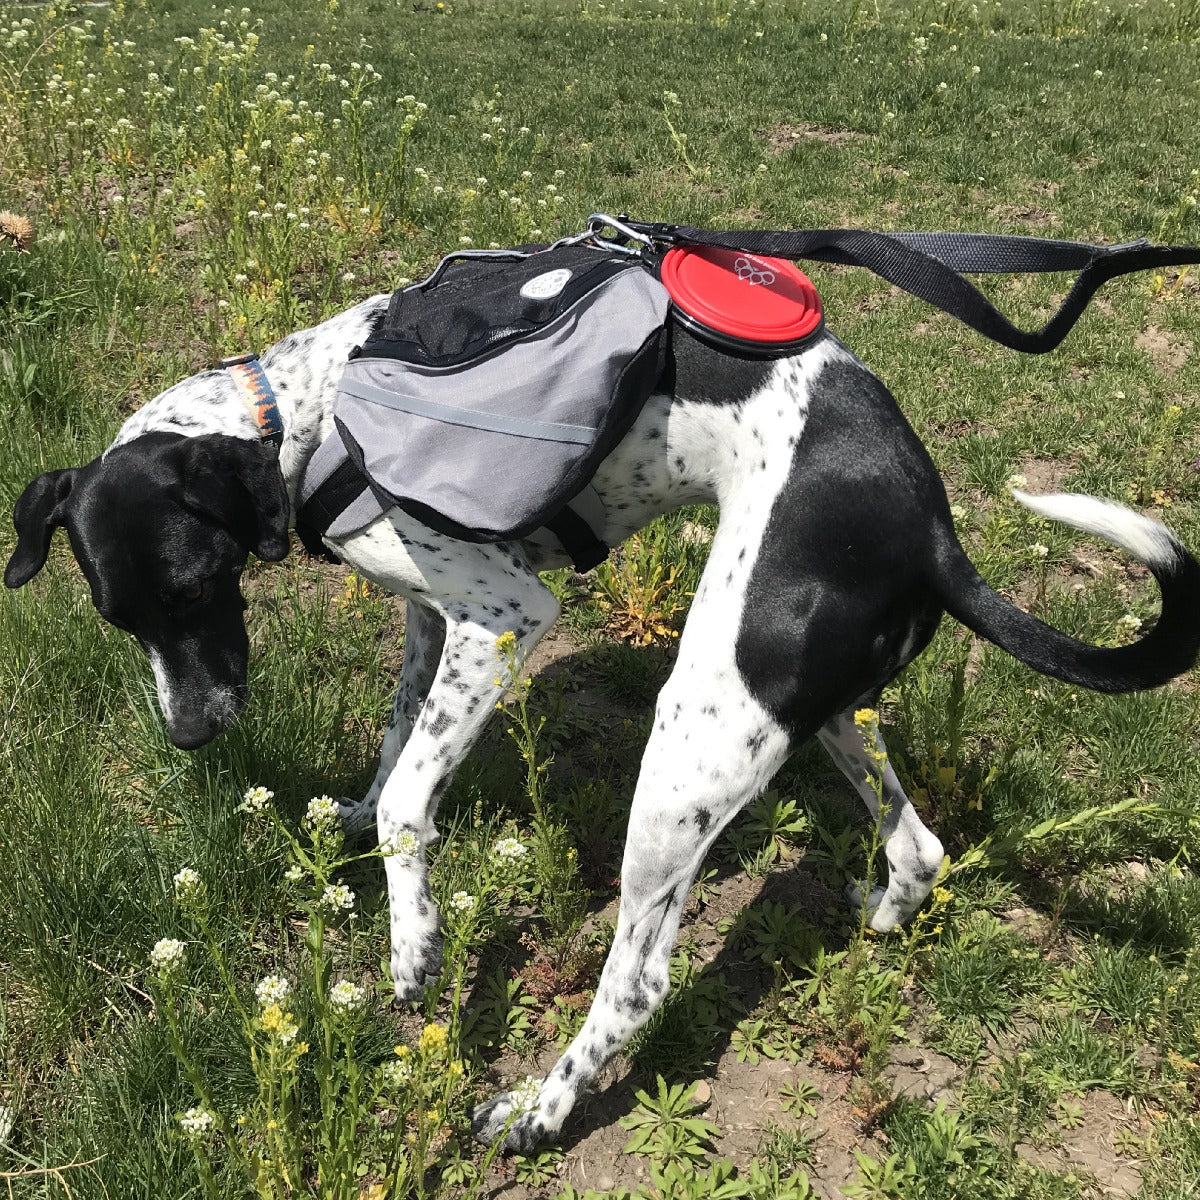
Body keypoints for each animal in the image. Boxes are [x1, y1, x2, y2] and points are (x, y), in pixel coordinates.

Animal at [9, 283, 1200, 1152]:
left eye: (191, 584)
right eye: (119, 618)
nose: (190, 737)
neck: (305, 413)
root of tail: (936, 528)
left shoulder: (503, 618)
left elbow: (410, 802)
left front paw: (414, 943)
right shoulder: (431, 622)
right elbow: (395, 752)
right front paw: (353, 829)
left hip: (691, 736)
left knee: (638, 983)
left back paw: (536, 1113)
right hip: (795, 707)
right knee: (920, 844)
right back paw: (883, 914)